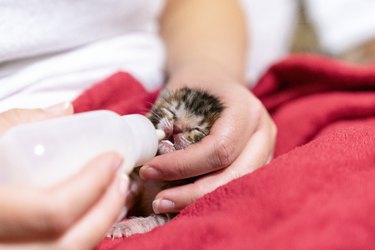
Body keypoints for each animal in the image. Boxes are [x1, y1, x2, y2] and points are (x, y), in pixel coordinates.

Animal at [106, 87, 223, 238]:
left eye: (197, 129)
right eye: (172, 111)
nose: (177, 127)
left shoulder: (171, 210)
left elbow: (154, 219)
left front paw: (125, 226)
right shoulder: (137, 179)